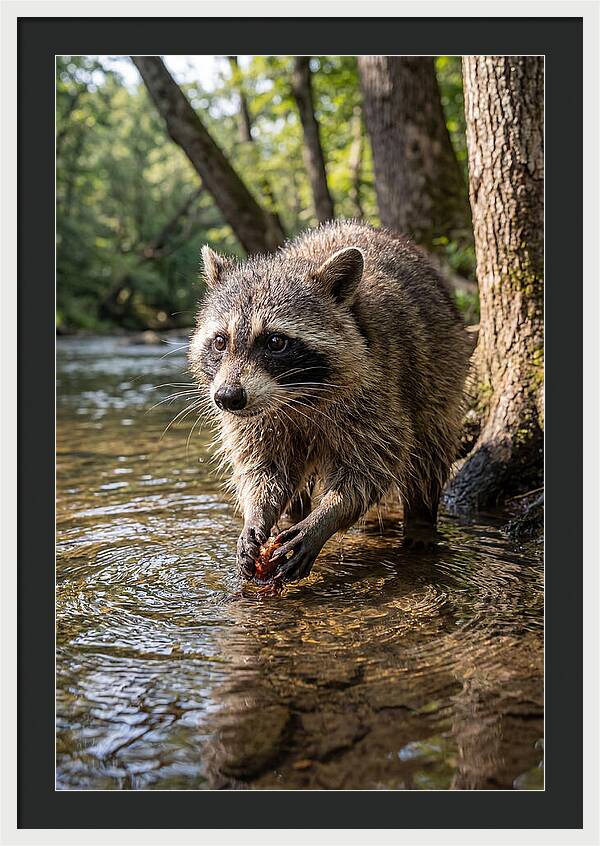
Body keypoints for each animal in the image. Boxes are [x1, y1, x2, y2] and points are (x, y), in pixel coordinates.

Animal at [189, 221, 470, 582]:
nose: (227, 398)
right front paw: (257, 512)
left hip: (442, 370)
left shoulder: (378, 389)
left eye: (276, 342)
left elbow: (373, 466)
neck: (295, 396)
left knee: (428, 453)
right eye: (221, 342)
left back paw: (421, 520)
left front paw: (328, 516)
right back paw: (293, 514)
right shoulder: (256, 418)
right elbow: (263, 467)